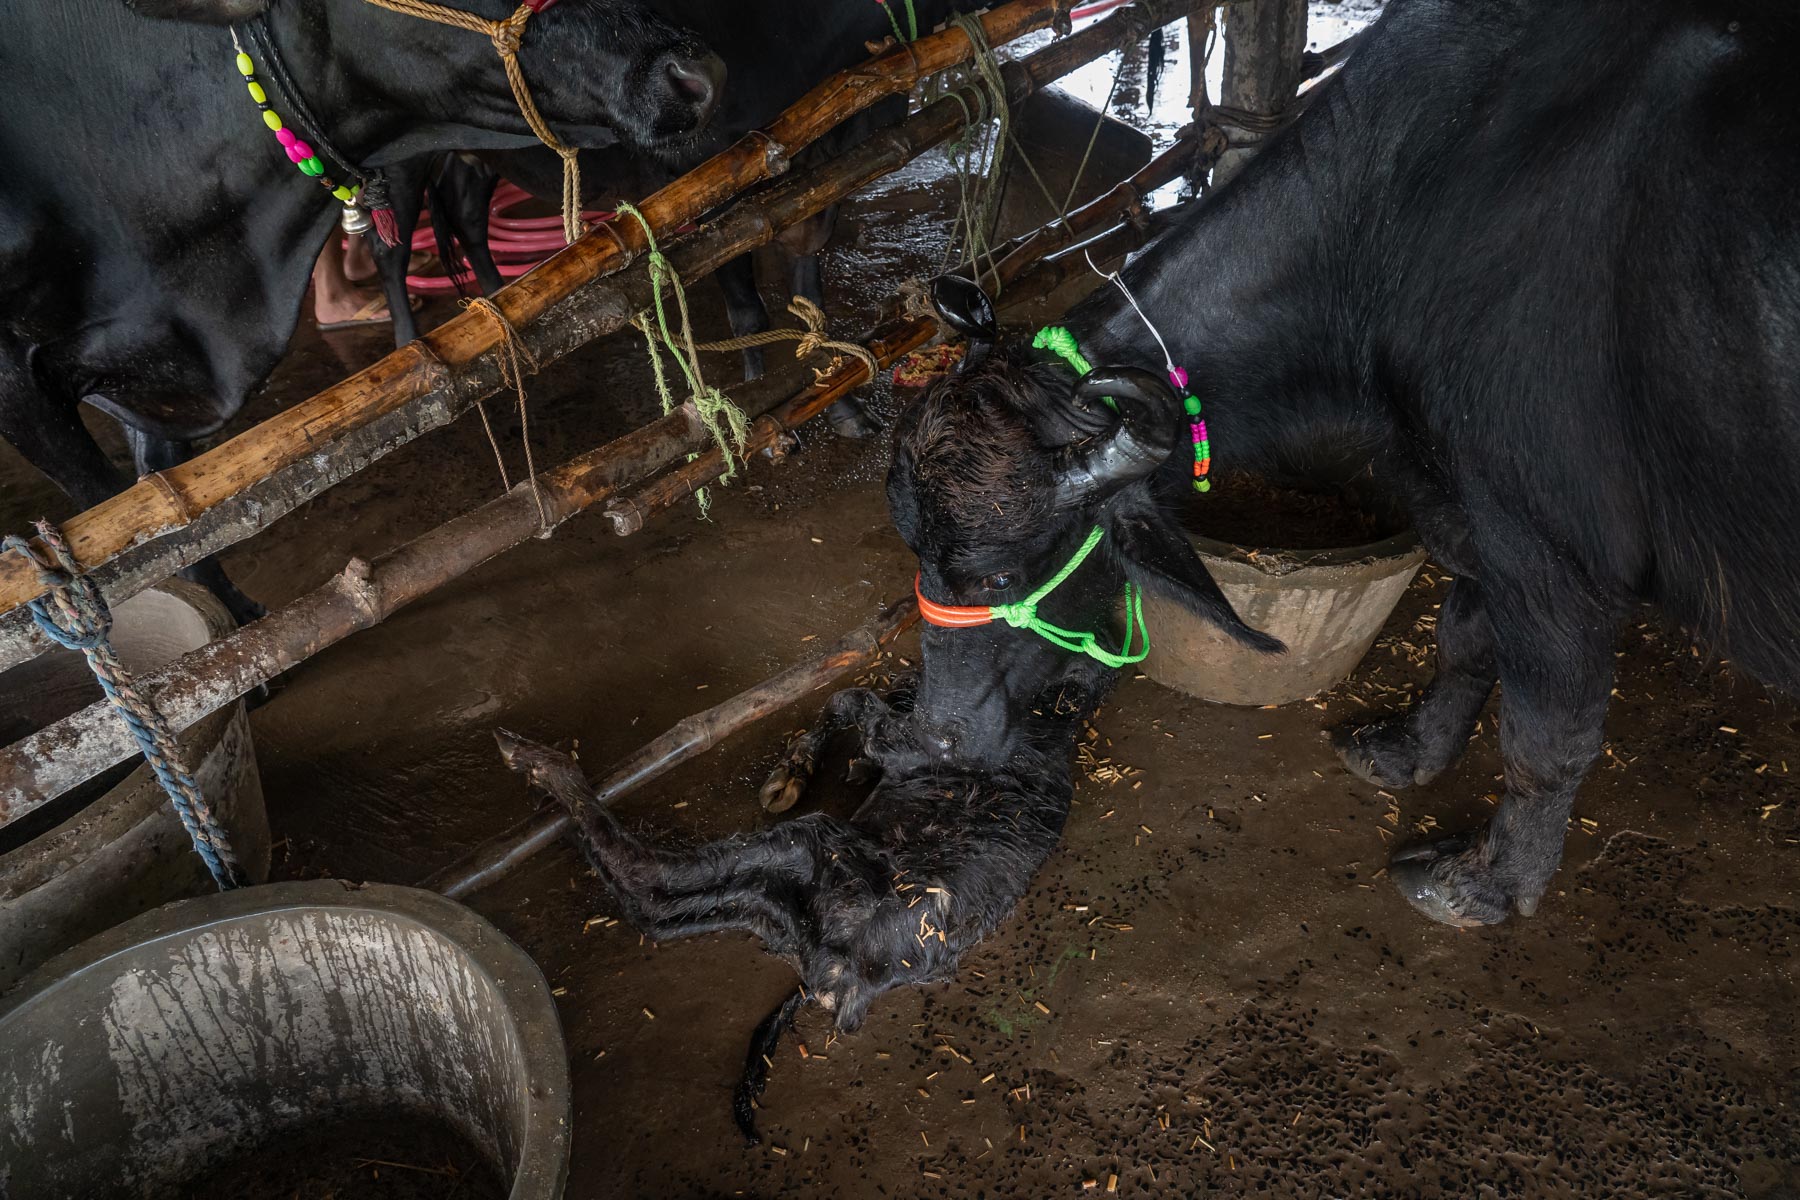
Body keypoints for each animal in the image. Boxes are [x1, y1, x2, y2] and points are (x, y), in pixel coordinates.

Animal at [489, 694, 1094, 1144]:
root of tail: (851, 978)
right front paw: (827, 766)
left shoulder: (904, 738)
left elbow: (855, 702)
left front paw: (801, 766)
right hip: (771, 901)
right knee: (662, 910)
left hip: (803, 846)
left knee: (649, 879)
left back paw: (535, 761)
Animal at [882, 0, 1800, 928]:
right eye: (917, 548)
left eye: (1000, 577)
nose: (937, 736)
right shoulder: (1462, 506)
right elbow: (1463, 639)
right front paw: (1405, 751)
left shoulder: (1548, 555)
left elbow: (1550, 735)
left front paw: (1484, 884)